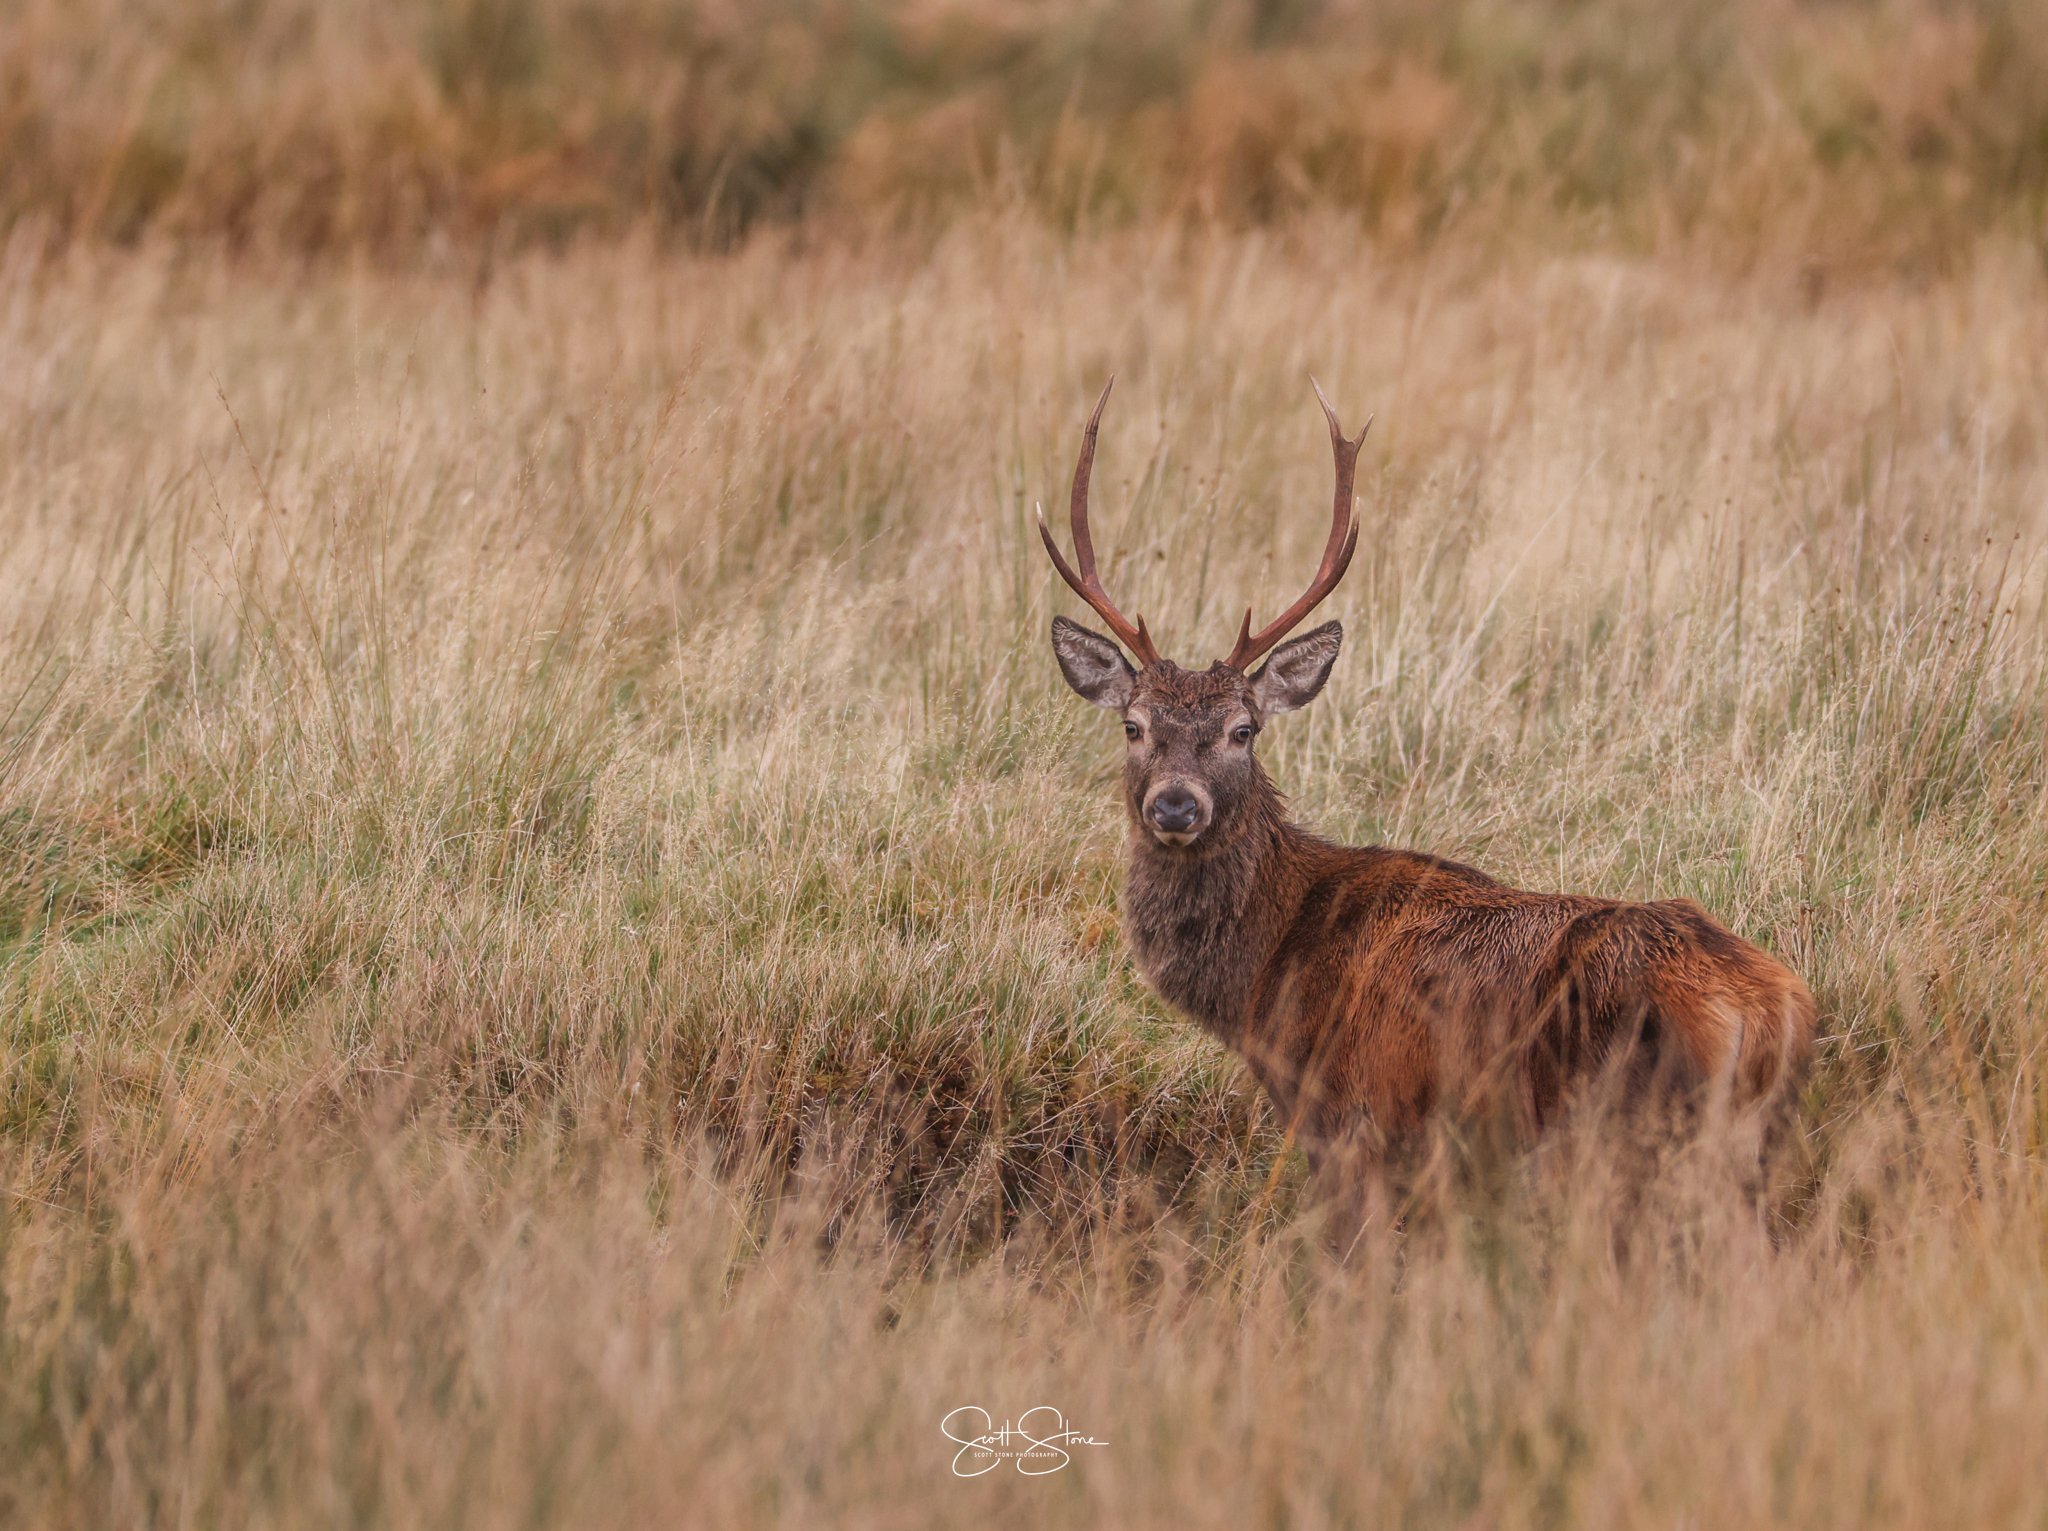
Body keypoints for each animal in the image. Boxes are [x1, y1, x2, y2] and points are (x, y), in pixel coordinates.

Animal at [1040, 379, 1817, 1179]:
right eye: (1134, 725)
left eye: (1242, 730)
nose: (1174, 805)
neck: (1265, 979)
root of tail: (1775, 1011)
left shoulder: (1355, 1112)